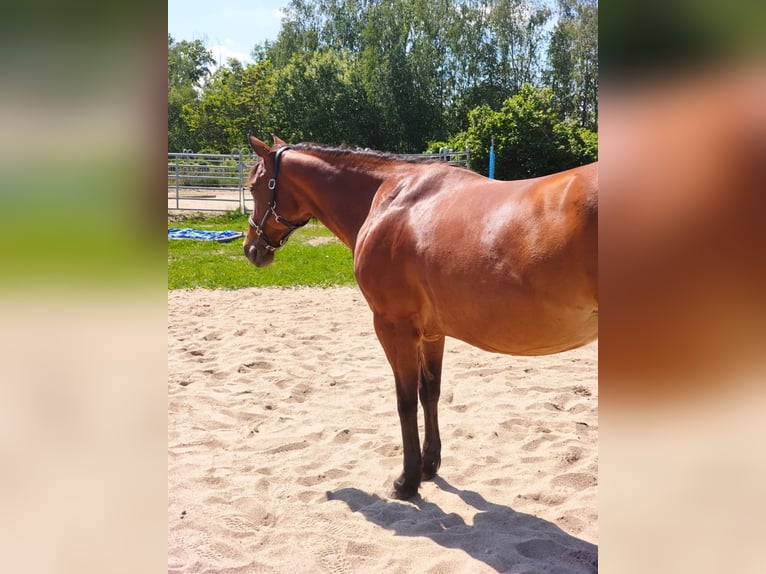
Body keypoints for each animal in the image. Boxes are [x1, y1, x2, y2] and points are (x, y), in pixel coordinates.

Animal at [243, 134, 598, 499]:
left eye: (254, 186)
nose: (251, 249)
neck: (390, 198)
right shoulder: (431, 333)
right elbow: (430, 392)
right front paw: (429, 465)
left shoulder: (394, 328)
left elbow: (405, 401)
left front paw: (408, 479)